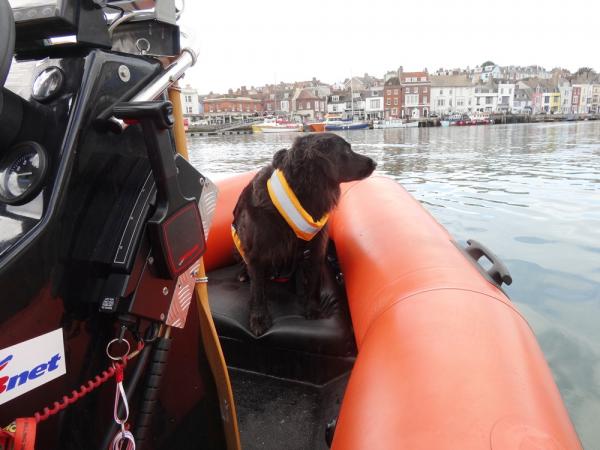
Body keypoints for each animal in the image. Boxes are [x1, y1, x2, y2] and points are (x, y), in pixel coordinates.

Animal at [231, 132, 376, 336]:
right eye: (347, 150)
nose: (375, 163)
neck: (303, 193)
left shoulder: (316, 248)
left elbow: (313, 282)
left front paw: (313, 309)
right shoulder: (256, 254)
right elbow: (258, 290)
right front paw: (259, 319)